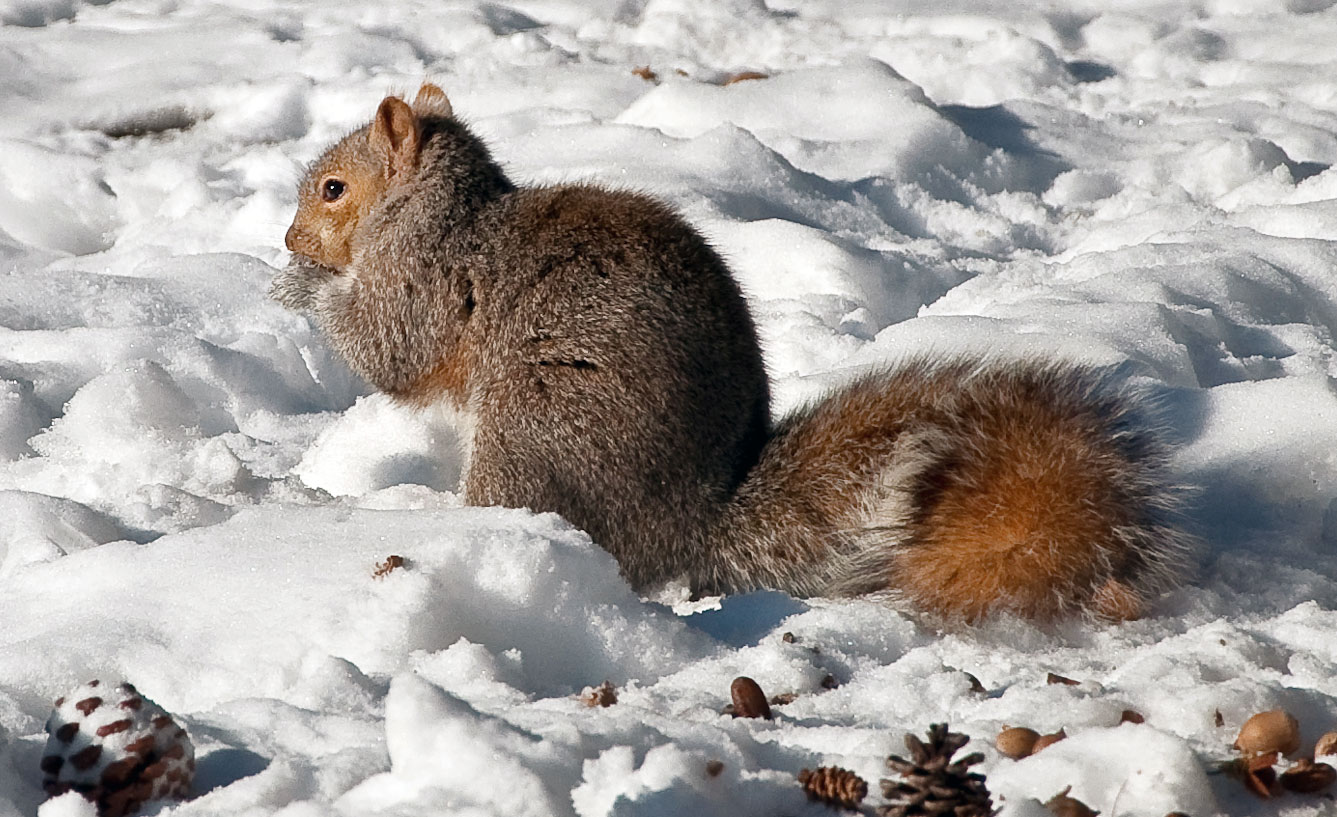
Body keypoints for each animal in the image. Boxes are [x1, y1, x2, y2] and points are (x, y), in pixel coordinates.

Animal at [271, 83, 1192, 623]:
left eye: (333, 189)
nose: (287, 239)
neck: (433, 210)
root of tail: (689, 524)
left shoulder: (424, 278)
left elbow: (388, 346)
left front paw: (298, 288)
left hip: (533, 421)